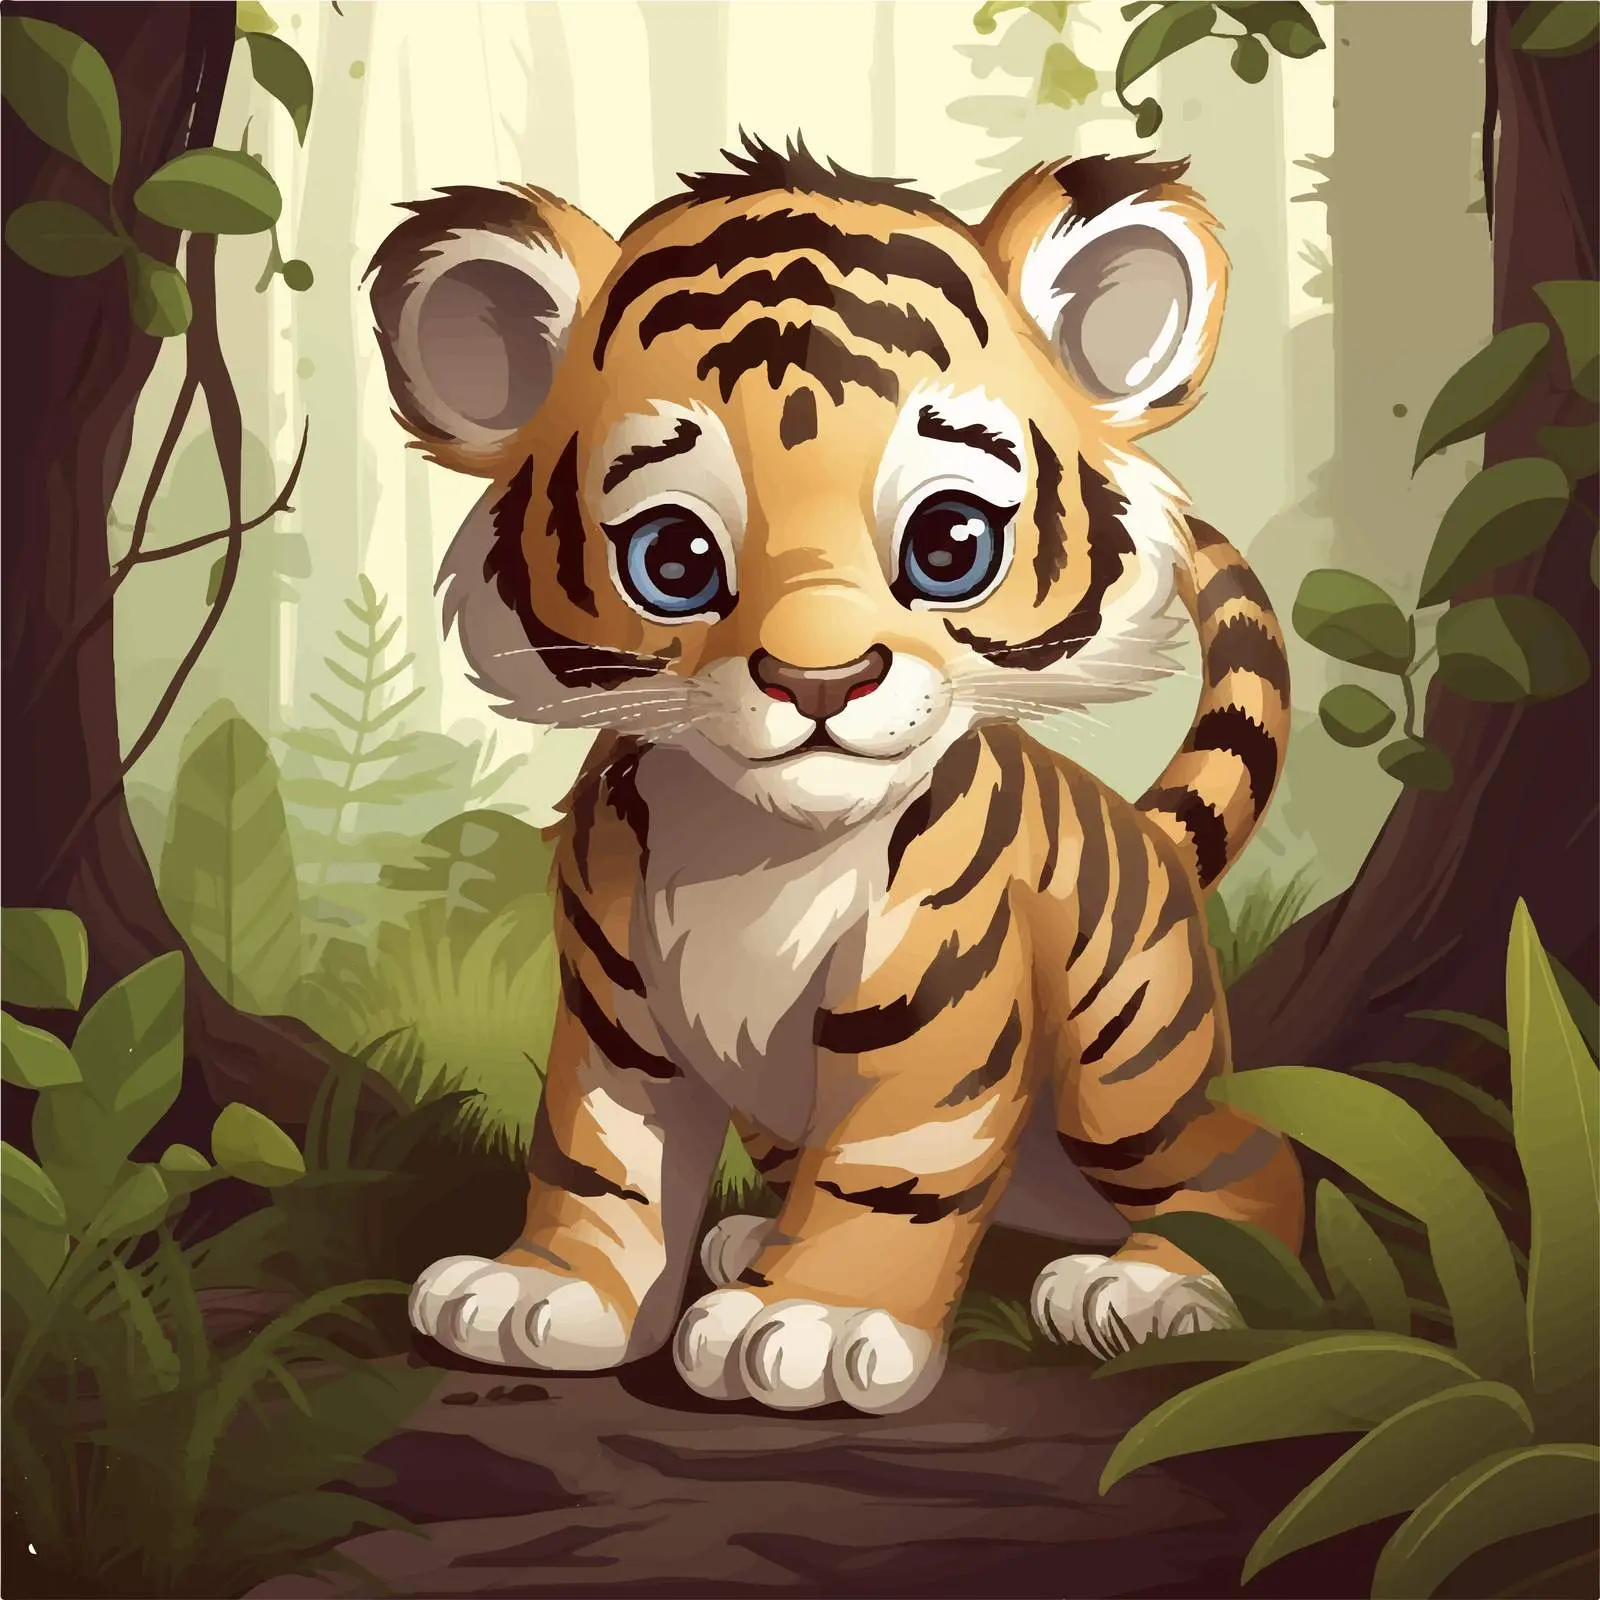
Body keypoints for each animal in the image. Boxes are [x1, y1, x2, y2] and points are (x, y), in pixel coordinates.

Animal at [364, 134, 1303, 1414]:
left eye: (950, 543)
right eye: (672, 557)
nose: (821, 678)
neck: (757, 845)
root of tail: (1147, 831)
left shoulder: (938, 1012)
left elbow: (888, 1174)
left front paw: (809, 1322)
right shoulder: (615, 1015)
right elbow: (601, 1157)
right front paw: (546, 1292)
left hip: (1131, 1070)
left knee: (1250, 1158)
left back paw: (1151, 1285)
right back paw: (749, 1240)